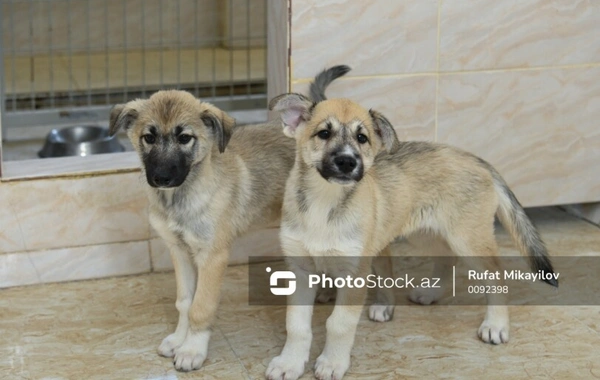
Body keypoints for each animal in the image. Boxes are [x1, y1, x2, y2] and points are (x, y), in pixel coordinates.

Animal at [264, 82, 556, 380]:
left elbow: (339, 324)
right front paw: (290, 363)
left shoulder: (354, 274)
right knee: (446, 258)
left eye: (362, 138)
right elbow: (296, 325)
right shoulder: (300, 270)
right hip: (423, 233)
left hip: (468, 238)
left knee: (495, 275)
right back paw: (431, 293)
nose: (347, 162)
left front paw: (333, 362)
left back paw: (496, 325)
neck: (324, 202)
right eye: (324, 133)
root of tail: (477, 159)